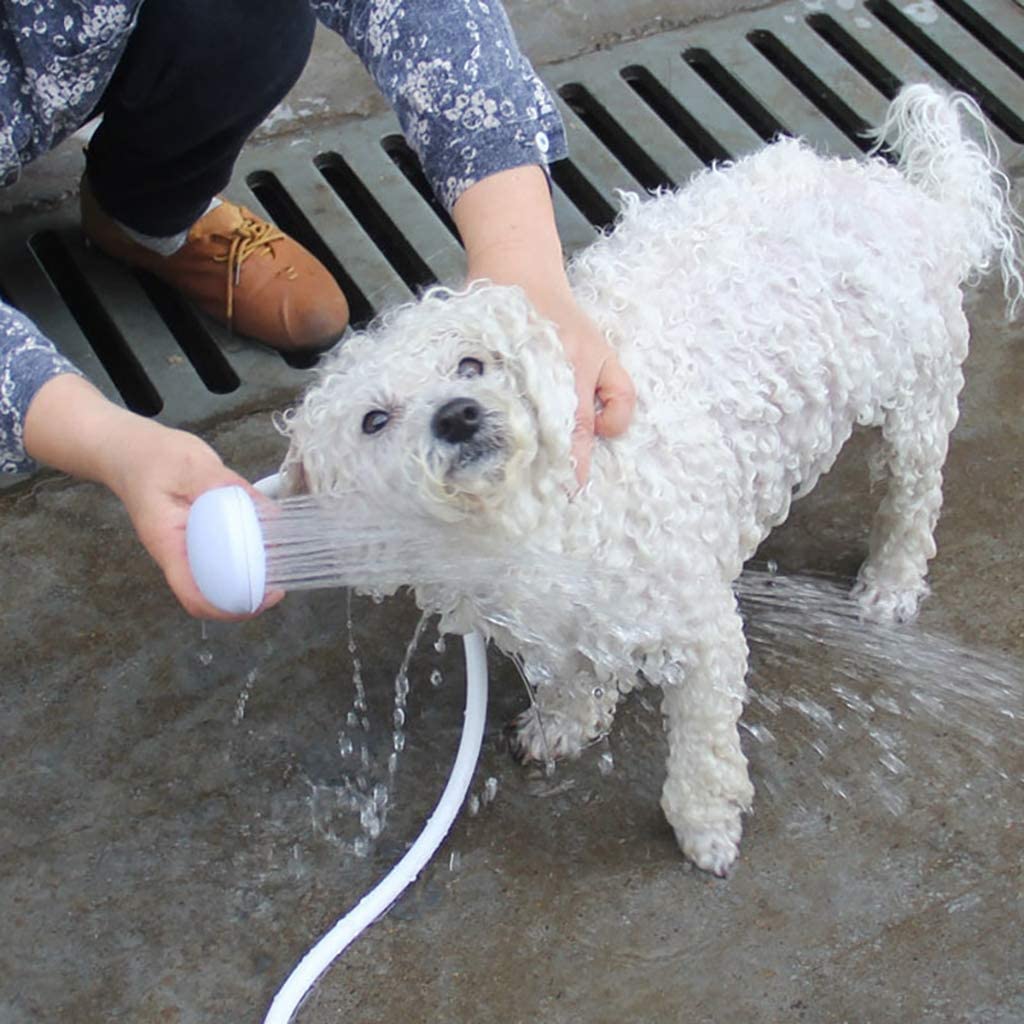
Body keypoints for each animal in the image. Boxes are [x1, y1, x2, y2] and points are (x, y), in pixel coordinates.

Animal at [278, 83, 1015, 876]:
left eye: (472, 363)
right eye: (373, 420)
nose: (459, 414)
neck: (532, 524)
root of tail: (909, 199)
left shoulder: (699, 629)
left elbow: (703, 749)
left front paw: (706, 826)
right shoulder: (545, 623)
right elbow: (567, 677)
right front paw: (565, 724)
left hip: (918, 398)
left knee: (912, 497)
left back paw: (890, 584)